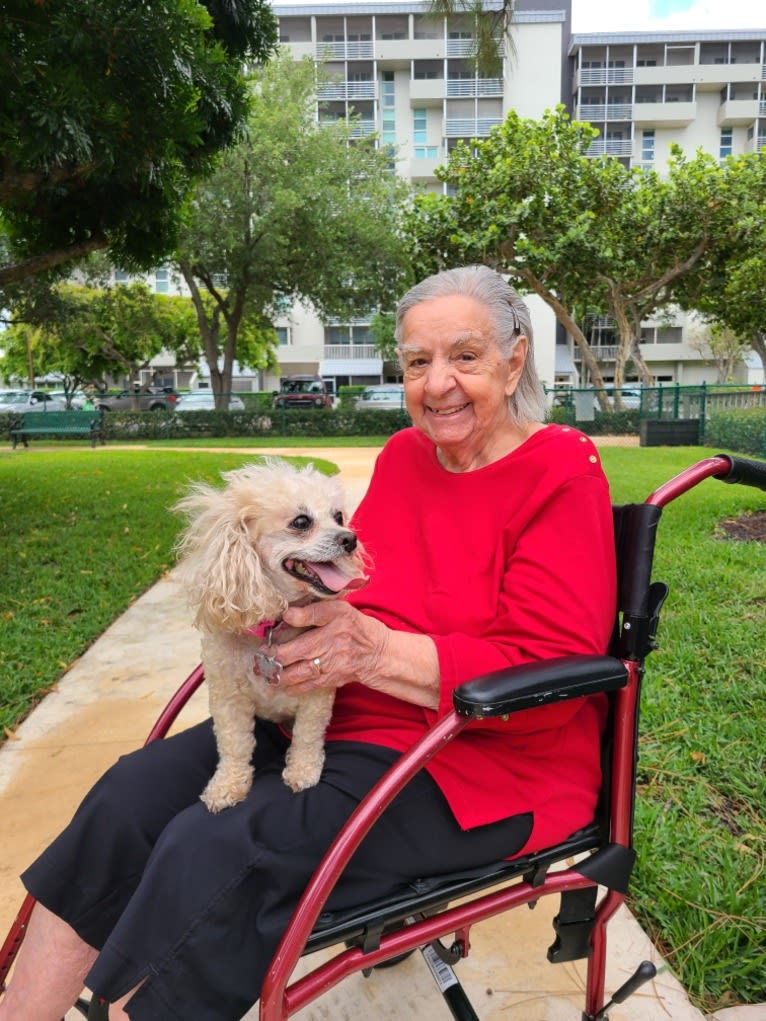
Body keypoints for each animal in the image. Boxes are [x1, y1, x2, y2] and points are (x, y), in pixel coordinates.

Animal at [173, 459, 369, 808]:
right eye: (301, 521)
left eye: (338, 517)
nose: (350, 539)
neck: (272, 629)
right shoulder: (227, 698)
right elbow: (233, 745)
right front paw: (227, 785)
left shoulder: (317, 693)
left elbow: (308, 735)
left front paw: (303, 770)